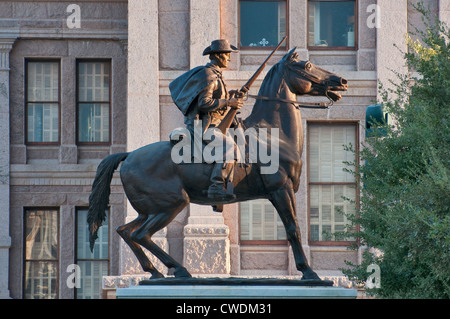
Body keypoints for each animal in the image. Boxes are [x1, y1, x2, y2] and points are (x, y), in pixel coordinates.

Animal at [88, 47, 348, 280]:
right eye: (307, 65)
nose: (342, 81)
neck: (273, 135)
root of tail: (129, 155)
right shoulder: (280, 190)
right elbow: (293, 229)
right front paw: (308, 271)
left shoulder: (283, 191)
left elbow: (293, 227)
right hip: (172, 204)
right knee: (141, 235)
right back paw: (178, 270)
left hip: (150, 209)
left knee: (126, 231)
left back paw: (156, 271)